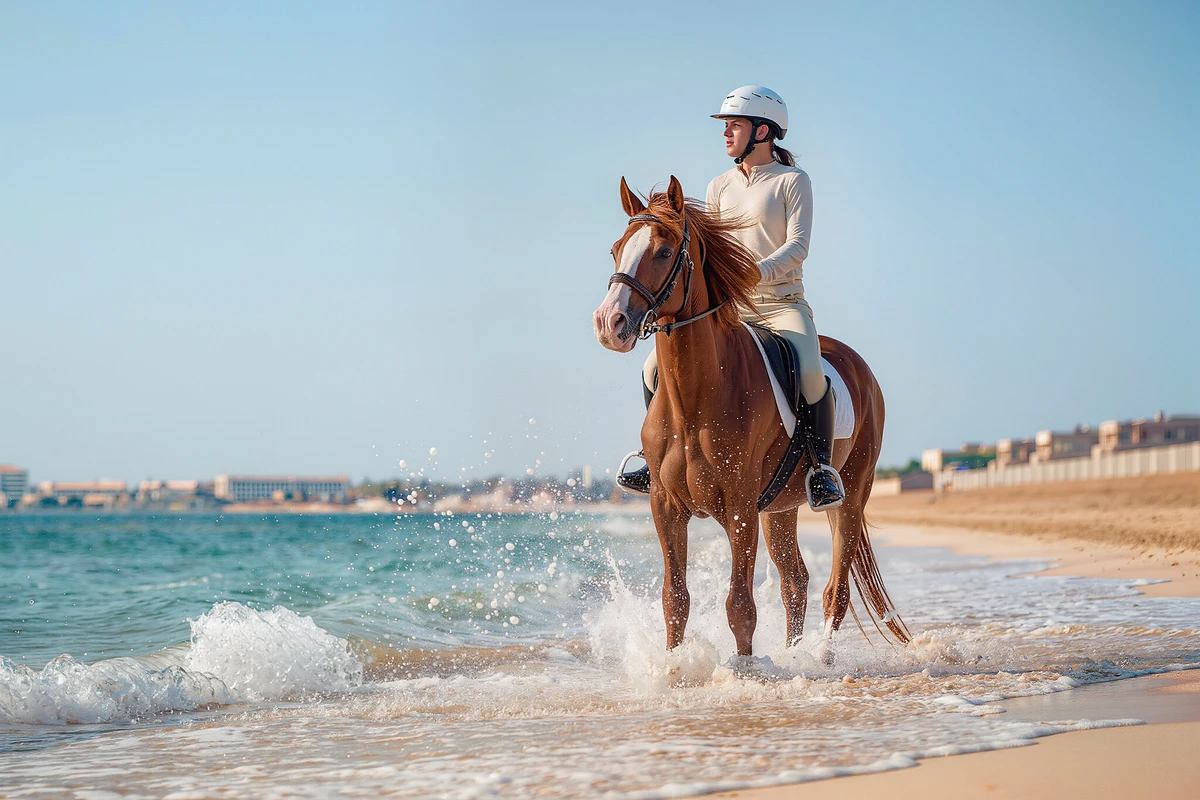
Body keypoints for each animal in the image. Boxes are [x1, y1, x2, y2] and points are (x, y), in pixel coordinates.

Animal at [592, 175, 910, 661]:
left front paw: (743, 669)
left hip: (851, 496)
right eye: (615, 249)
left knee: (835, 590)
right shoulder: (665, 506)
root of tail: (860, 367)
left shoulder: (740, 509)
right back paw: (795, 656)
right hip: (781, 507)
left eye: (663, 252)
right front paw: (673, 668)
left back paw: (821, 660)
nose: (610, 323)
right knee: (795, 582)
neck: (695, 399)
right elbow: (674, 600)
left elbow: (739, 604)